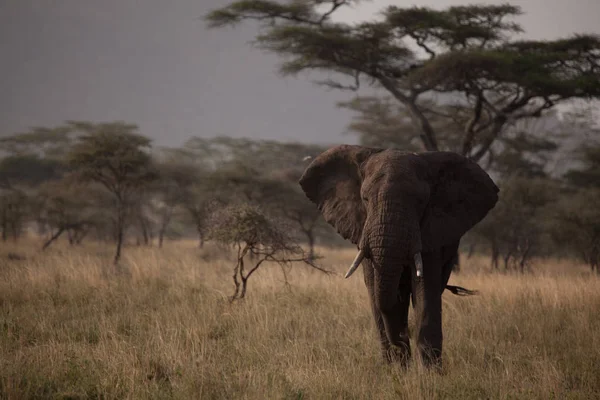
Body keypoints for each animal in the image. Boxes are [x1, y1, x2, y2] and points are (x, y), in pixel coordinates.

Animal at [298, 145, 500, 368]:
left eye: (421, 202)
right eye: (365, 199)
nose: (405, 333)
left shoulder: (430, 231)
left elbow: (425, 288)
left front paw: (429, 372)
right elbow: (376, 289)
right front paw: (396, 368)